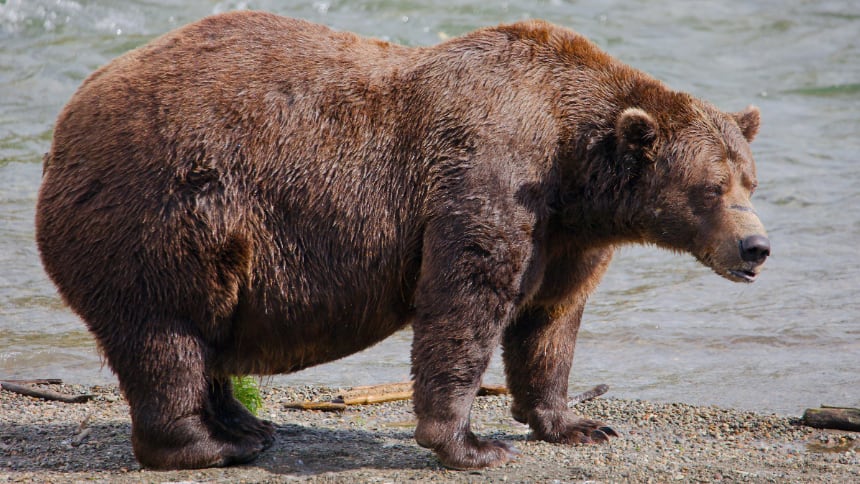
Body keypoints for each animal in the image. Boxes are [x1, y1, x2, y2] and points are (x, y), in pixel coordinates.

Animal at [35, 11, 770, 470]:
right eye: (711, 188)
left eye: (750, 180)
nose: (756, 248)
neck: (573, 164)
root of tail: (64, 124)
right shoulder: (489, 175)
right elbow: (465, 300)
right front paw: (471, 444)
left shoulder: (566, 235)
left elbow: (549, 322)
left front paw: (577, 424)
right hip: (164, 211)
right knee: (167, 334)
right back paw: (210, 445)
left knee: (206, 335)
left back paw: (247, 425)